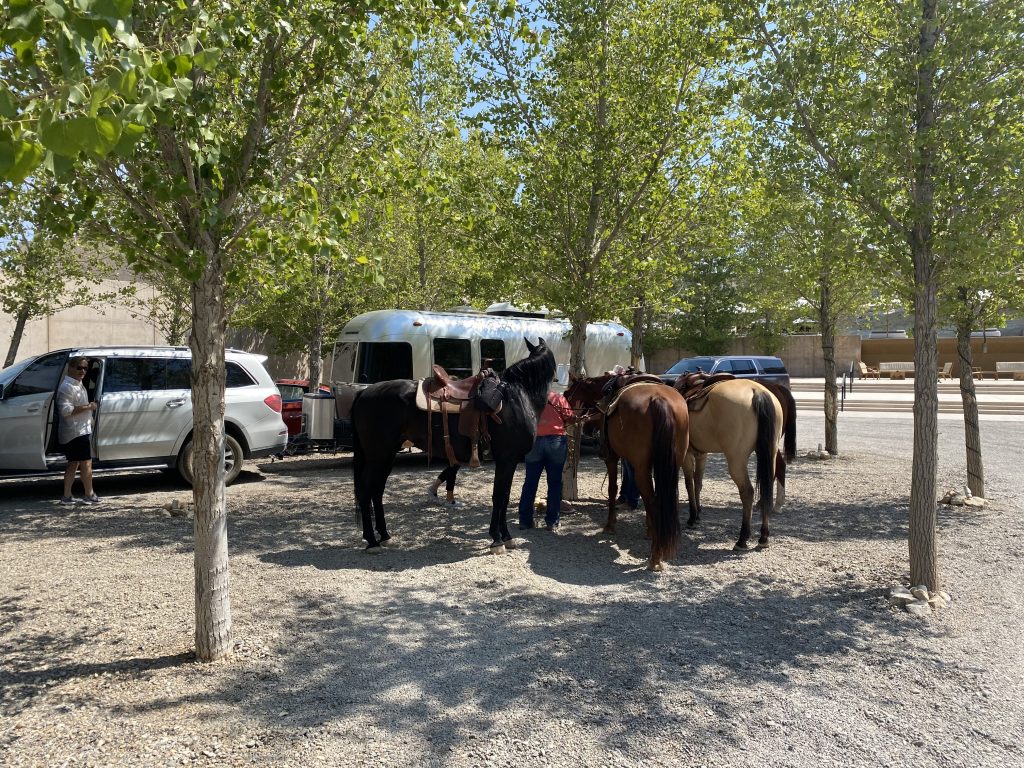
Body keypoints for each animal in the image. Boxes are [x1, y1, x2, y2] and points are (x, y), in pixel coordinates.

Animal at [354, 335, 561, 552]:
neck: (517, 398)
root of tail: (364, 393)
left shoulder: (509, 461)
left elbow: (503, 496)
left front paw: (505, 537)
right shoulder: (507, 458)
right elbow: (499, 496)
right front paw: (497, 539)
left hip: (386, 455)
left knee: (377, 490)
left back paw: (384, 535)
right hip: (377, 456)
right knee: (366, 491)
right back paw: (371, 541)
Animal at [565, 374, 692, 573]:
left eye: (568, 393)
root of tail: (659, 400)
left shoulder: (612, 458)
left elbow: (612, 489)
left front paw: (610, 526)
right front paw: (649, 531)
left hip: (640, 467)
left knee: (653, 501)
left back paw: (655, 557)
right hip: (671, 465)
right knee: (662, 499)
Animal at [671, 376, 782, 548]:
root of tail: (757, 392)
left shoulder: (686, 455)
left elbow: (689, 484)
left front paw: (692, 517)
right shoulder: (701, 455)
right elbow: (697, 483)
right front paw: (698, 514)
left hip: (736, 459)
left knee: (747, 492)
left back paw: (742, 538)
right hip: (770, 455)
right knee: (766, 490)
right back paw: (764, 537)